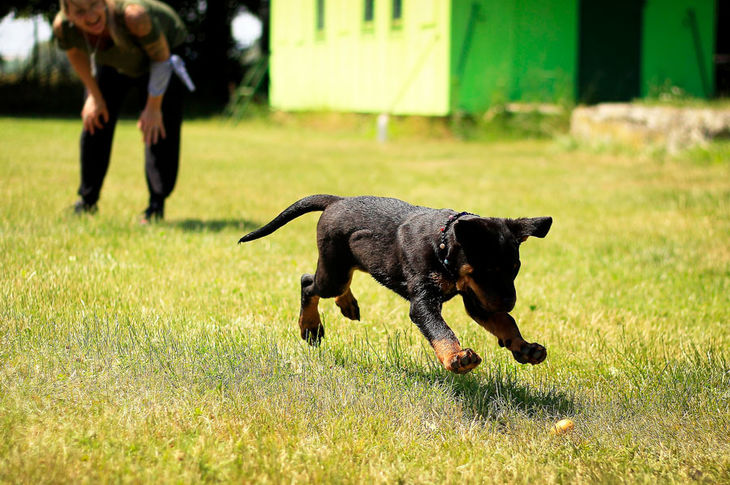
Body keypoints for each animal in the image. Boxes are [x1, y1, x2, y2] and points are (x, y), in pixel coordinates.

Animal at [239, 194, 552, 374]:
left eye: (515, 269)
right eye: (488, 270)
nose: (510, 302)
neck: (442, 245)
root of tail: (336, 200)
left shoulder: (478, 299)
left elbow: (506, 323)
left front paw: (524, 348)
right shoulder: (425, 301)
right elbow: (441, 330)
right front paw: (456, 358)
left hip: (350, 263)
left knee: (339, 283)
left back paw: (347, 305)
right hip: (333, 271)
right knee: (308, 283)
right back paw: (311, 327)